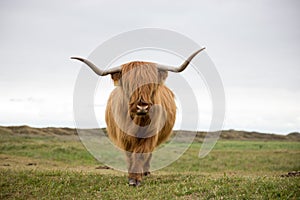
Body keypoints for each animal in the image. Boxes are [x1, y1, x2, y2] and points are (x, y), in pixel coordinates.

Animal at [71, 47, 205, 186]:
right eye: (129, 85)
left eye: (150, 84)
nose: (142, 107)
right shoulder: (124, 136)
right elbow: (130, 155)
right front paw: (131, 177)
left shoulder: (150, 135)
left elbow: (141, 154)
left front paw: (136, 178)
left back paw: (146, 172)